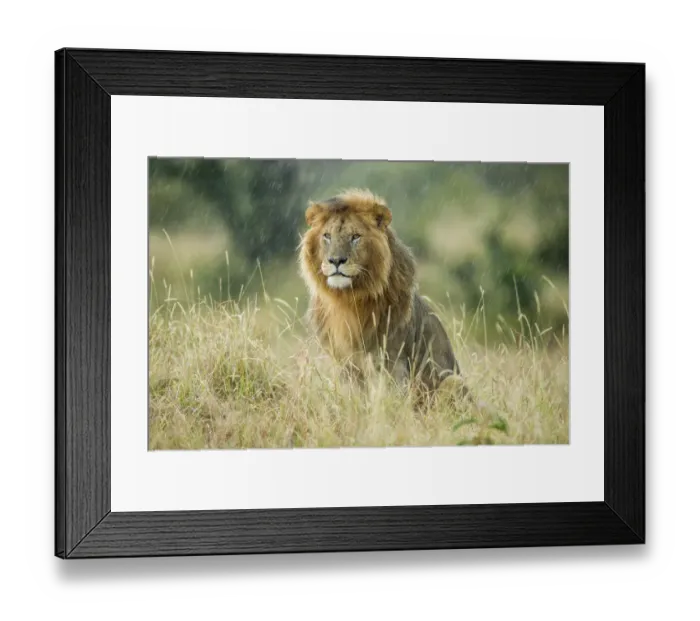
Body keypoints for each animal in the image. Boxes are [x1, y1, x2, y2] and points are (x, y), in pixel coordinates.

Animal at [299, 188, 468, 400]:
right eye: (327, 236)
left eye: (355, 236)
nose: (336, 260)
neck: (347, 299)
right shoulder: (342, 363)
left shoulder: (390, 360)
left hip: (453, 381)